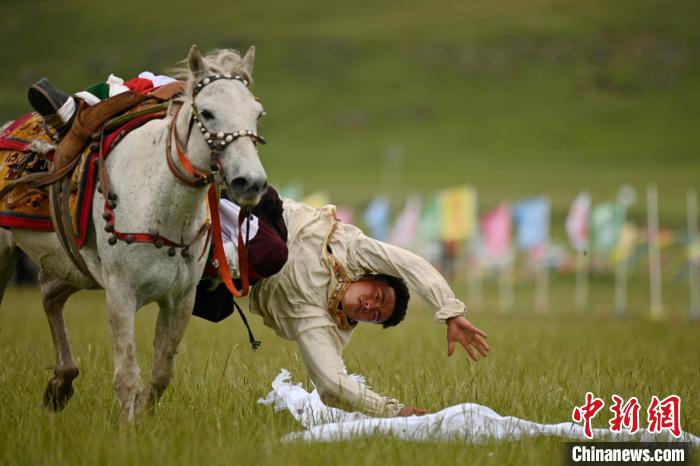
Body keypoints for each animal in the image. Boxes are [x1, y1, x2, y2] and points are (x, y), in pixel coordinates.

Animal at [0, 45, 266, 420]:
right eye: (208, 113)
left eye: (257, 114)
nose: (251, 182)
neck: (159, 203)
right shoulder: (120, 294)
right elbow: (127, 375)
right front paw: (129, 426)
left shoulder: (180, 299)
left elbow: (161, 372)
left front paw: (143, 416)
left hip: (74, 267)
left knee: (50, 294)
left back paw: (61, 383)